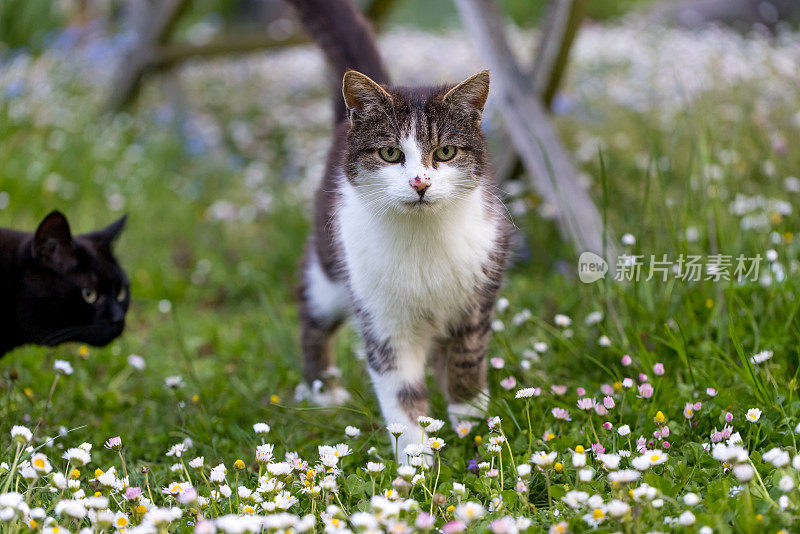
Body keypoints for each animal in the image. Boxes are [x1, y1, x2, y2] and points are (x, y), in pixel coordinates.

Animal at [288, 0, 512, 460]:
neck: (422, 240)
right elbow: (402, 392)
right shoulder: (382, 319)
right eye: (391, 153)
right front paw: (416, 459)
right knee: (311, 307)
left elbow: (467, 357)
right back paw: (324, 391)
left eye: (445, 151)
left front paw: (471, 421)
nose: (420, 182)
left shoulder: (480, 287)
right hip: (332, 269)